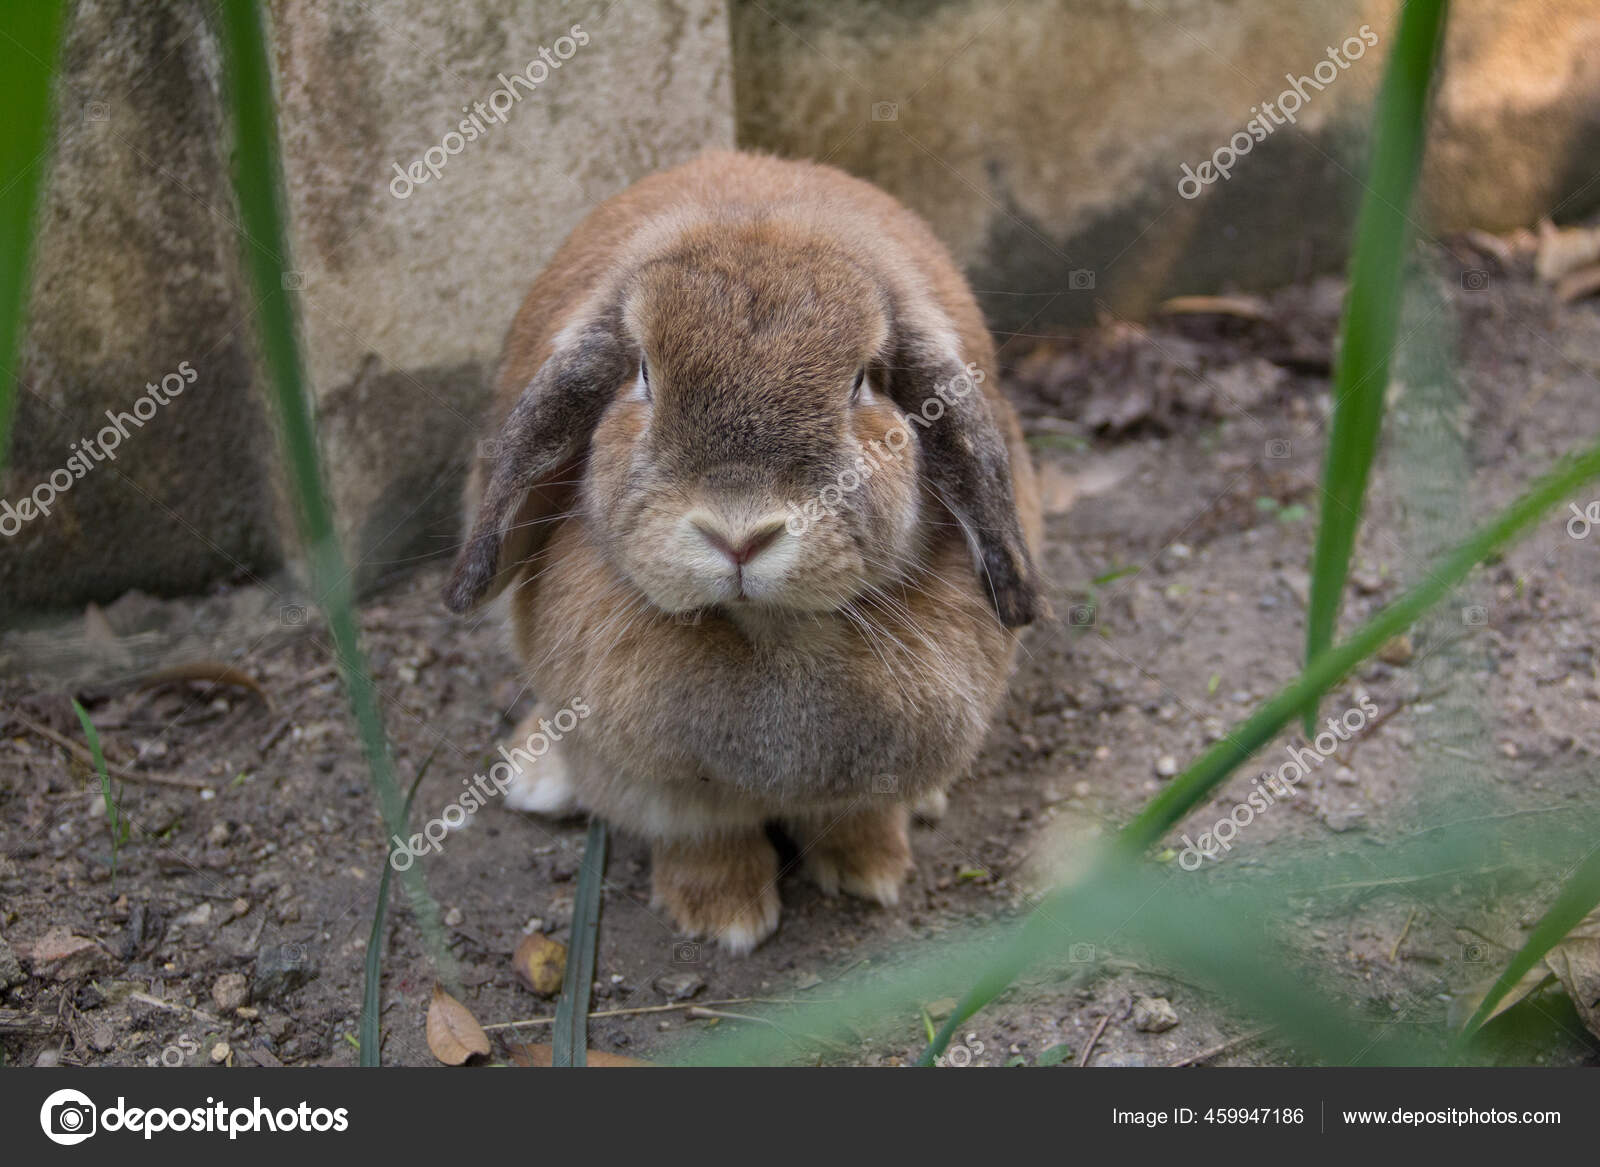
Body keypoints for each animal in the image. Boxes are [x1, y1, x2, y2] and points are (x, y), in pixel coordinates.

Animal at [448, 150, 1049, 947]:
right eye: (643, 374)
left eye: (863, 380)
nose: (739, 535)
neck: (774, 637)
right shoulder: (661, 793)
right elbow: (706, 843)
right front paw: (725, 916)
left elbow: (856, 817)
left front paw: (873, 870)